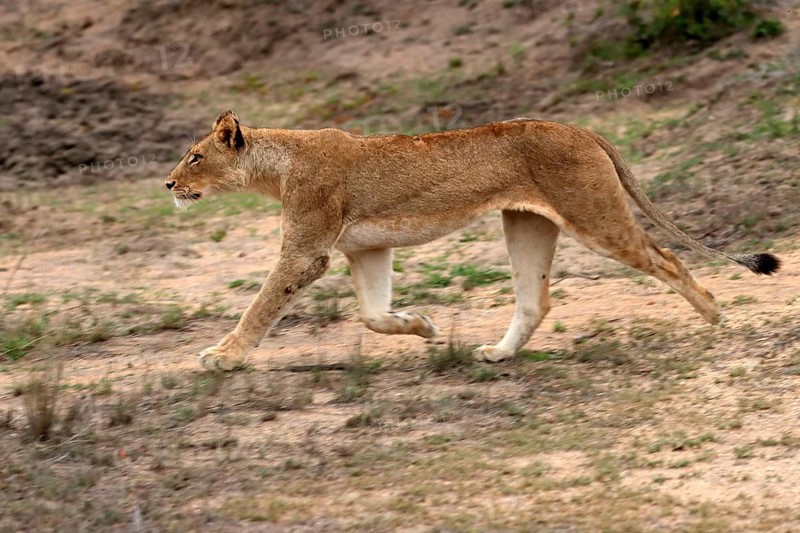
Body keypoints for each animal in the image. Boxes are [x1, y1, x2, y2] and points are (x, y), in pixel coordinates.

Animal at [165, 110, 780, 371]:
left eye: (196, 155)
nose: (168, 183)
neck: (278, 165)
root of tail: (580, 127)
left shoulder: (307, 252)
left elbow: (260, 306)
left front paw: (222, 356)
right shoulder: (367, 248)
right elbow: (373, 314)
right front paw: (422, 326)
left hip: (595, 217)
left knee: (667, 257)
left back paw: (716, 317)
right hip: (526, 223)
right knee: (535, 300)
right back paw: (498, 354)